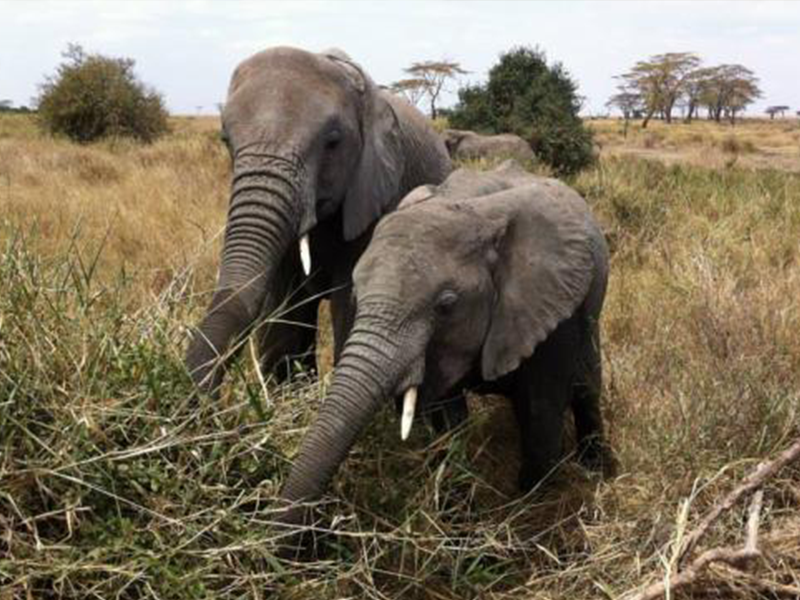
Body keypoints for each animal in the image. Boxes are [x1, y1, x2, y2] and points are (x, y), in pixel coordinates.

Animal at [276, 161, 611, 528]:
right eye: (354, 296)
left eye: (447, 305)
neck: (478, 213)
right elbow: (448, 422)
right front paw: (459, 514)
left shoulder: (551, 309)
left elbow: (541, 419)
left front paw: (522, 513)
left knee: (586, 387)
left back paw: (597, 470)